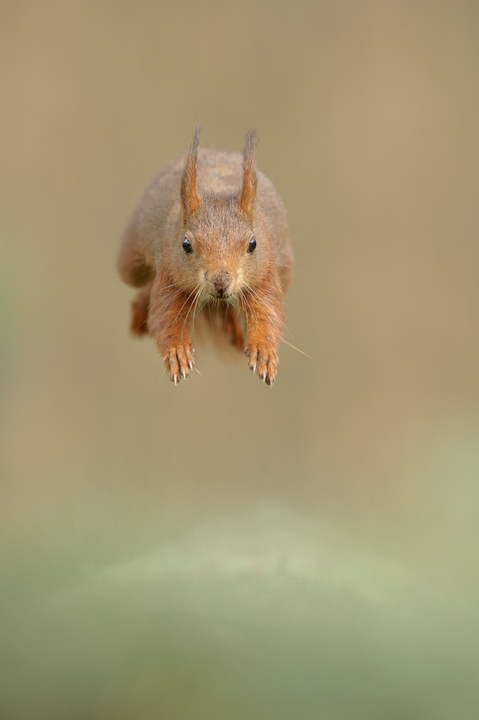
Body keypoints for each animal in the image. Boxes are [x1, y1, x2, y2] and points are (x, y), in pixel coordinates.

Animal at [117, 128, 294, 385]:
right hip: (131, 262)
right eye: (186, 245)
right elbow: (164, 318)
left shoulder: (265, 274)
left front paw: (263, 352)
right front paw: (178, 353)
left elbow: (268, 313)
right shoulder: (170, 274)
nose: (221, 283)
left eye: (253, 244)